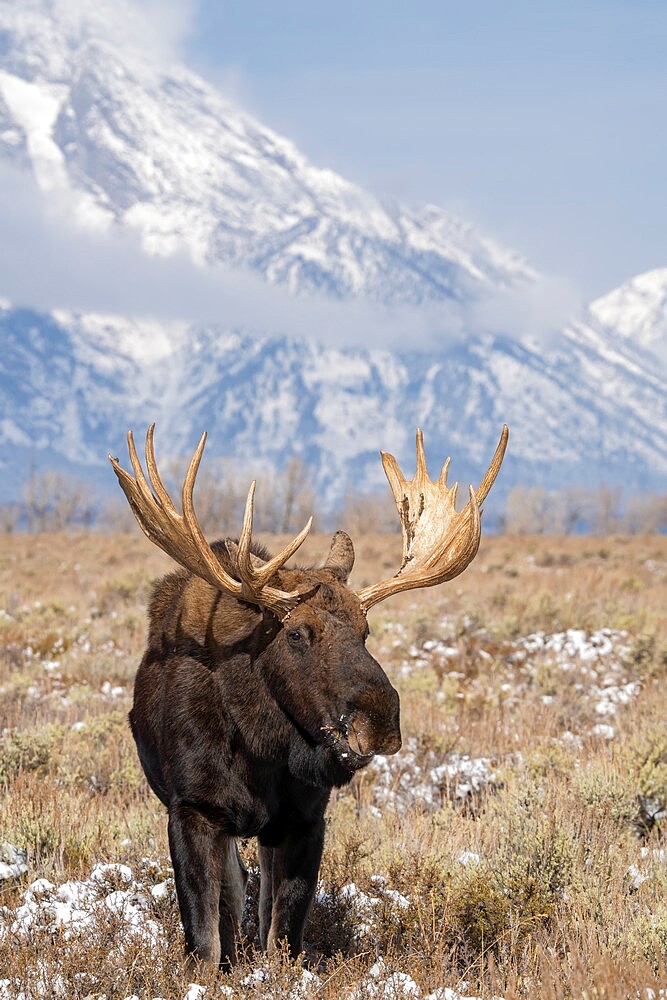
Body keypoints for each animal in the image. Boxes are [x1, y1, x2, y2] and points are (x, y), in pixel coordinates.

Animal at [109, 424, 508, 968]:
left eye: (366, 630)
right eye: (297, 633)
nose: (380, 720)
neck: (257, 744)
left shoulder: (305, 818)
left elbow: (284, 932)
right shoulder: (192, 809)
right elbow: (206, 937)